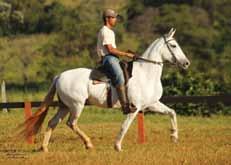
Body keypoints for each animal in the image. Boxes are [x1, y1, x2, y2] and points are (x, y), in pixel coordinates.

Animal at [19, 27, 189, 152]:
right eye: (173, 45)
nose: (186, 63)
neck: (146, 73)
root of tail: (59, 76)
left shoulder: (151, 104)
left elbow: (172, 113)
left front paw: (174, 137)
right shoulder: (135, 108)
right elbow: (124, 127)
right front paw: (117, 146)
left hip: (64, 106)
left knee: (52, 122)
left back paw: (44, 148)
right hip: (76, 105)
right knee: (71, 123)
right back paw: (88, 144)